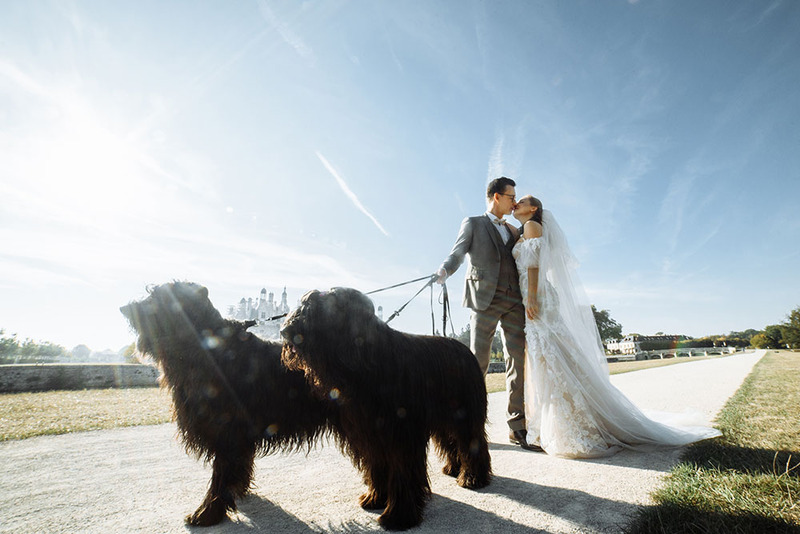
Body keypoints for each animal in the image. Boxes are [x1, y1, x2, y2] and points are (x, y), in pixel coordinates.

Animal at [119, 282, 332, 528]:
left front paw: (207, 512)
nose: (124, 308)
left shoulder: (227, 431)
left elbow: (221, 473)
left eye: (156, 296)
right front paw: (236, 492)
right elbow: (238, 467)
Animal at [282, 288, 494, 532]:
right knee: (450, 441)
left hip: (465, 415)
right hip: (443, 418)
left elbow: (402, 474)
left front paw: (398, 516)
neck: (367, 361)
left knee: (472, 441)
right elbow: (377, 468)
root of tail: (464, 349)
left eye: (316, 308)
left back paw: (473, 478)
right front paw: (375, 498)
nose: (284, 331)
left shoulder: (401, 436)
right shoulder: (370, 436)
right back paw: (453, 468)